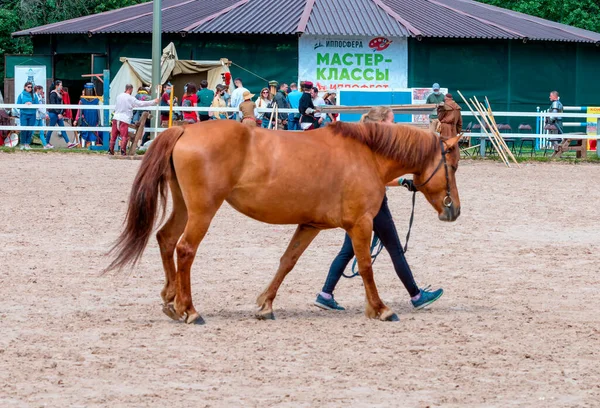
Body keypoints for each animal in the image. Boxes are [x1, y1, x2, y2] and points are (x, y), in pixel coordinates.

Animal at [105, 119, 462, 324]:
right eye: (454, 166)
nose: (454, 210)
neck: (366, 155)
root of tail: (185, 128)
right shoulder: (361, 224)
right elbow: (365, 266)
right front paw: (380, 308)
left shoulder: (310, 226)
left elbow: (287, 262)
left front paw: (265, 304)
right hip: (203, 211)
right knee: (185, 249)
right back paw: (189, 309)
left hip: (183, 206)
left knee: (166, 239)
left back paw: (170, 301)